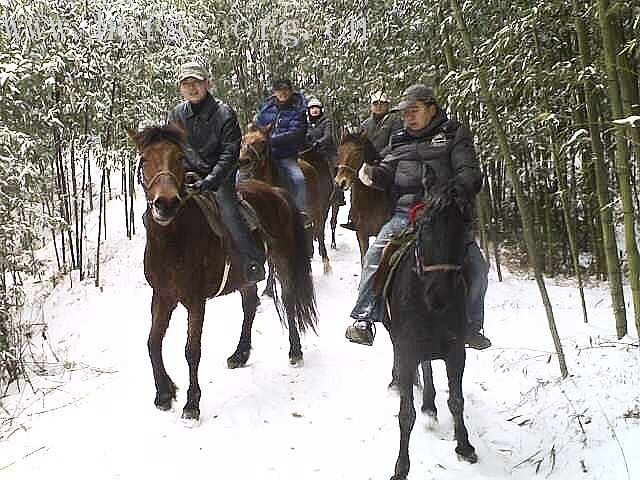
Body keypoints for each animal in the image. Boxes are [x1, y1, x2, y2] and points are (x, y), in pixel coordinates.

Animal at [129, 125, 318, 422]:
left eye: (180, 159)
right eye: (145, 159)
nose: (166, 204)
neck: (173, 240)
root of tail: (276, 191)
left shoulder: (195, 300)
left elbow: (191, 350)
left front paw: (191, 404)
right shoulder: (162, 296)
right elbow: (152, 342)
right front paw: (164, 393)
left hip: (283, 260)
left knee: (288, 301)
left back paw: (295, 351)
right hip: (246, 276)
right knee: (250, 305)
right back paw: (240, 354)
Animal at [238, 124, 332, 274]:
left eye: (263, 141)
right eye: (243, 139)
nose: (243, 161)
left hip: (317, 211)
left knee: (319, 233)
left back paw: (326, 265)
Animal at [382, 176, 478, 480]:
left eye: (467, 226)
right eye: (425, 223)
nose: (438, 295)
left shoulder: (456, 351)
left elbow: (457, 400)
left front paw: (464, 445)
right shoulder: (407, 350)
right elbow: (405, 415)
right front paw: (401, 468)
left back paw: (428, 403)